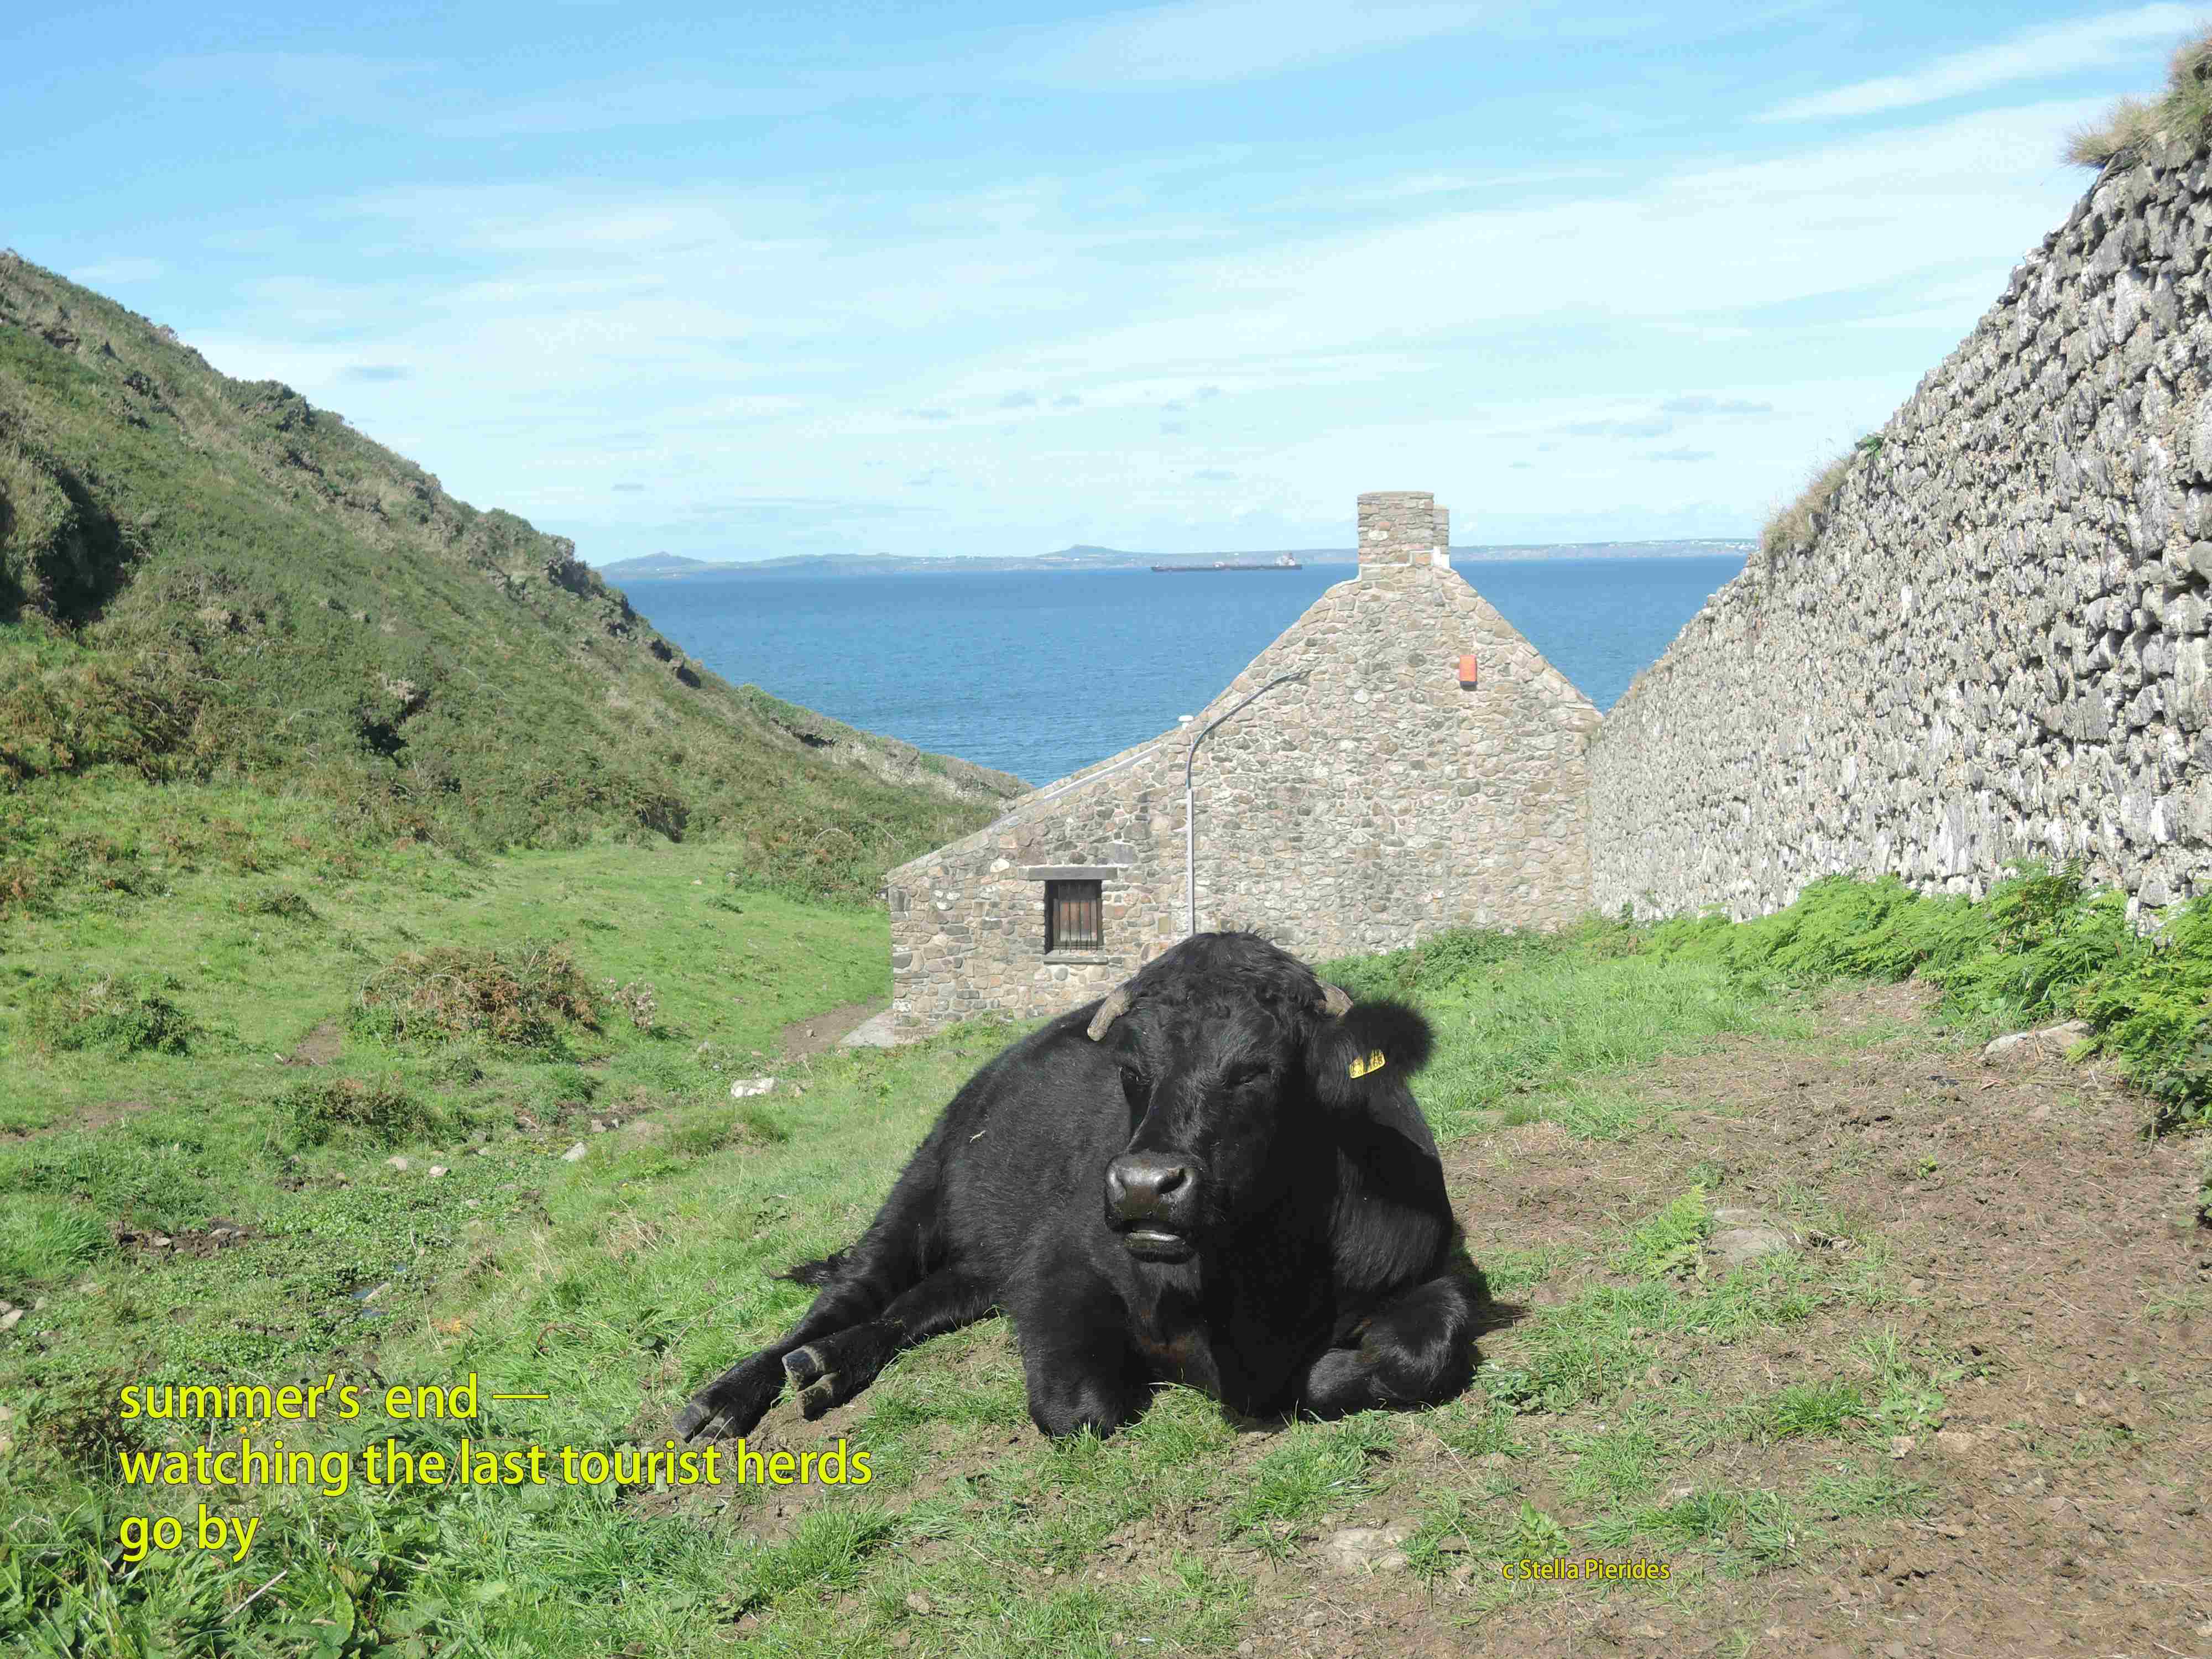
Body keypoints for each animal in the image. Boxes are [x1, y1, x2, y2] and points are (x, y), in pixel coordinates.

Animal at [674, 930, 1482, 1443]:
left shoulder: (1427, 1267)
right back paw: (728, 1397)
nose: (1145, 1186)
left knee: (908, 1309)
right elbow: (1079, 1408)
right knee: (844, 1297)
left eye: (1257, 1067)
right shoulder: (1060, 1267)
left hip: (985, 1261)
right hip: (918, 1188)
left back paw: (830, 1367)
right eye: (1130, 1070)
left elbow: (1417, 1355)